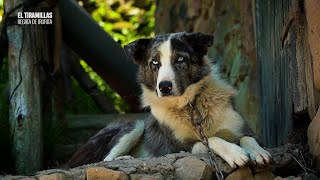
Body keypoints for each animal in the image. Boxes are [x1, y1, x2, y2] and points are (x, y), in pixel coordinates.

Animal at [69, 32, 272, 169]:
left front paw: (258, 152)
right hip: (134, 125)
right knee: (103, 161)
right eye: (154, 62)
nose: (164, 87)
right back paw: (127, 159)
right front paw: (234, 152)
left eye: (180, 59)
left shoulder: (245, 129)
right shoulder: (178, 148)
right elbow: (211, 139)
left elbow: (247, 137)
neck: (191, 106)